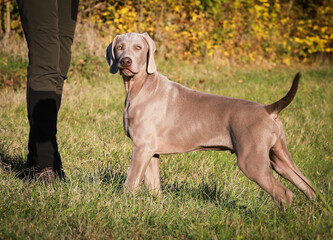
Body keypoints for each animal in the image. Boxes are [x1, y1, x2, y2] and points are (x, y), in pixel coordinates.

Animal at [105, 31, 316, 208]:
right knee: (307, 186)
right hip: (279, 157)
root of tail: (267, 109)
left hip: (251, 161)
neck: (140, 86)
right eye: (120, 47)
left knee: (284, 193)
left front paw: (123, 207)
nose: (125, 62)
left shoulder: (142, 147)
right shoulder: (152, 151)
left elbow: (130, 183)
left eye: (138, 47)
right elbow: (153, 185)